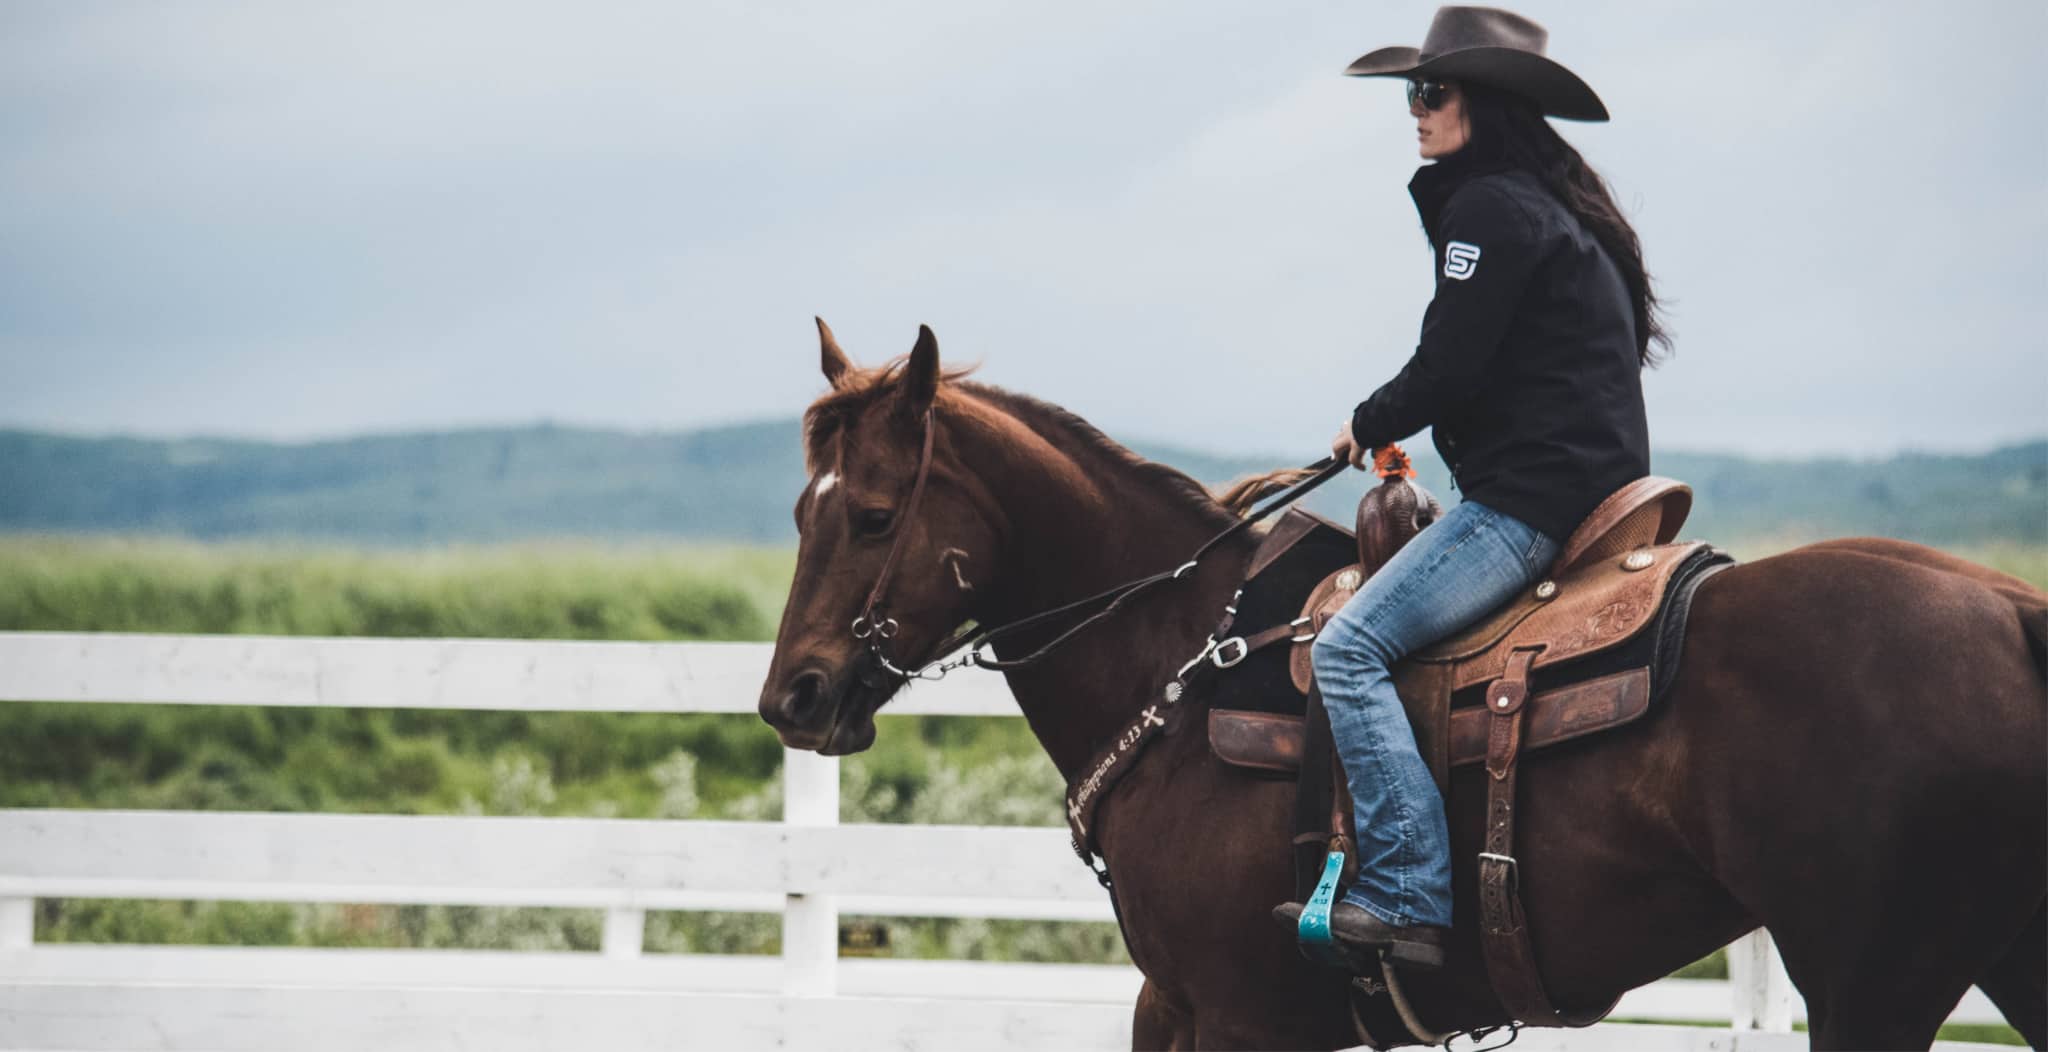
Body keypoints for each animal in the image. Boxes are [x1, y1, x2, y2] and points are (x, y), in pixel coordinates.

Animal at [757, 321, 2048, 1047]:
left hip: (1873, 984)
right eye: (798, 509)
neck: (1180, 662)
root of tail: (2004, 607)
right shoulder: (1168, 1003)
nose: (792, 698)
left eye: (873, 513)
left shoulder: (1239, 1016)